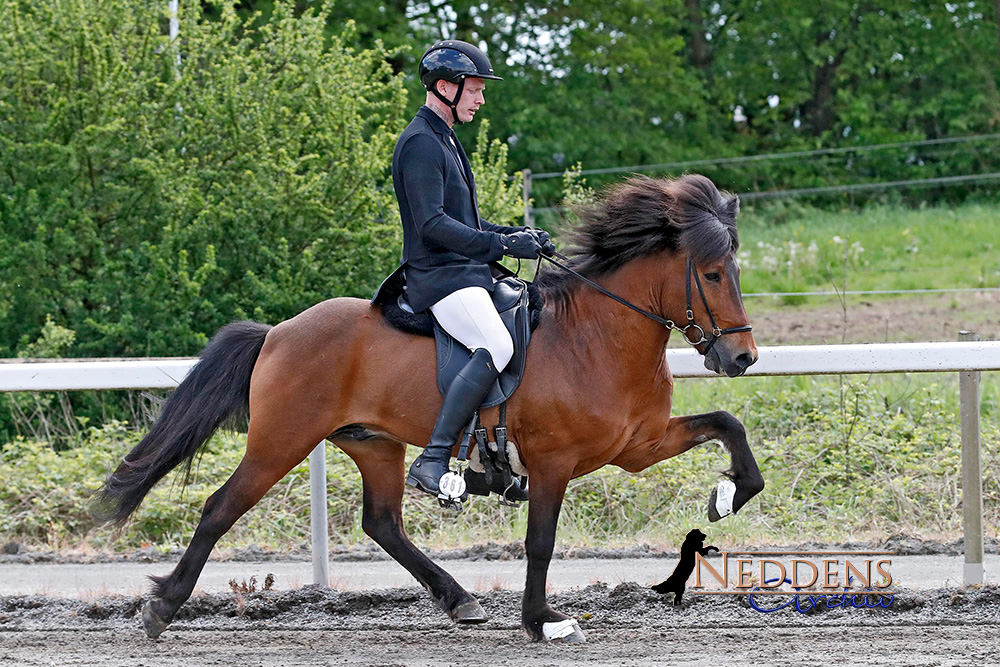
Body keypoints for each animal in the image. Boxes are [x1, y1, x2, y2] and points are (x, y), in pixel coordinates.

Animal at [95, 175, 764, 644]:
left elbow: (729, 426)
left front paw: (727, 494)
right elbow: (540, 541)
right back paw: (160, 609)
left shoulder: (637, 445)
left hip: (372, 442)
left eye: (735, 270)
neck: (598, 336)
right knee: (219, 508)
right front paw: (541, 620)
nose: (742, 358)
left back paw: (458, 599)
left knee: (382, 522)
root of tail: (278, 333)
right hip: (281, 440)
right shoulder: (553, 461)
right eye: (711, 274)